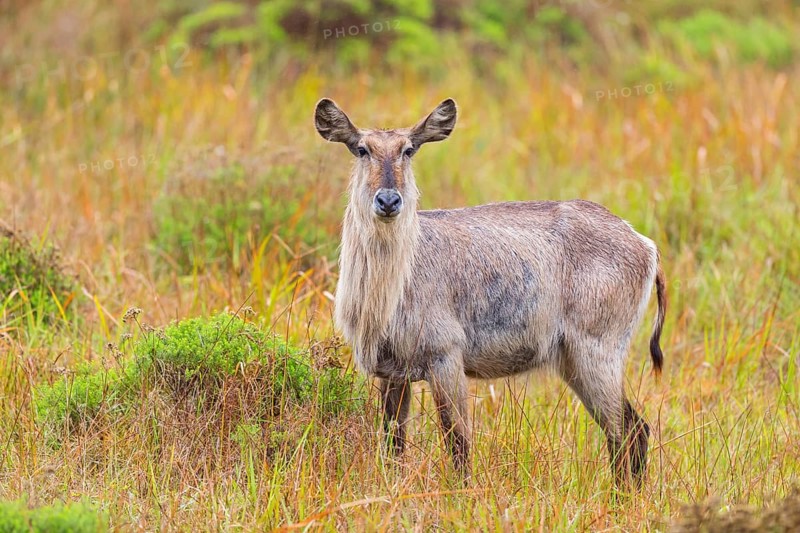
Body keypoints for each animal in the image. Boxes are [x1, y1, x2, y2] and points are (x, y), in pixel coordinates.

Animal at [314, 98, 666, 487]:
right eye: (362, 149)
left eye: (409, 149)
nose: (389, 201)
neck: (391, 288)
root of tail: (645, 244)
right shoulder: (392, 372)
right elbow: (394, 444)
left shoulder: (445, 357)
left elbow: (458, 443)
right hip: (573, 362)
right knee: (631, 430)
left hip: (597, 353)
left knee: (627, 431)